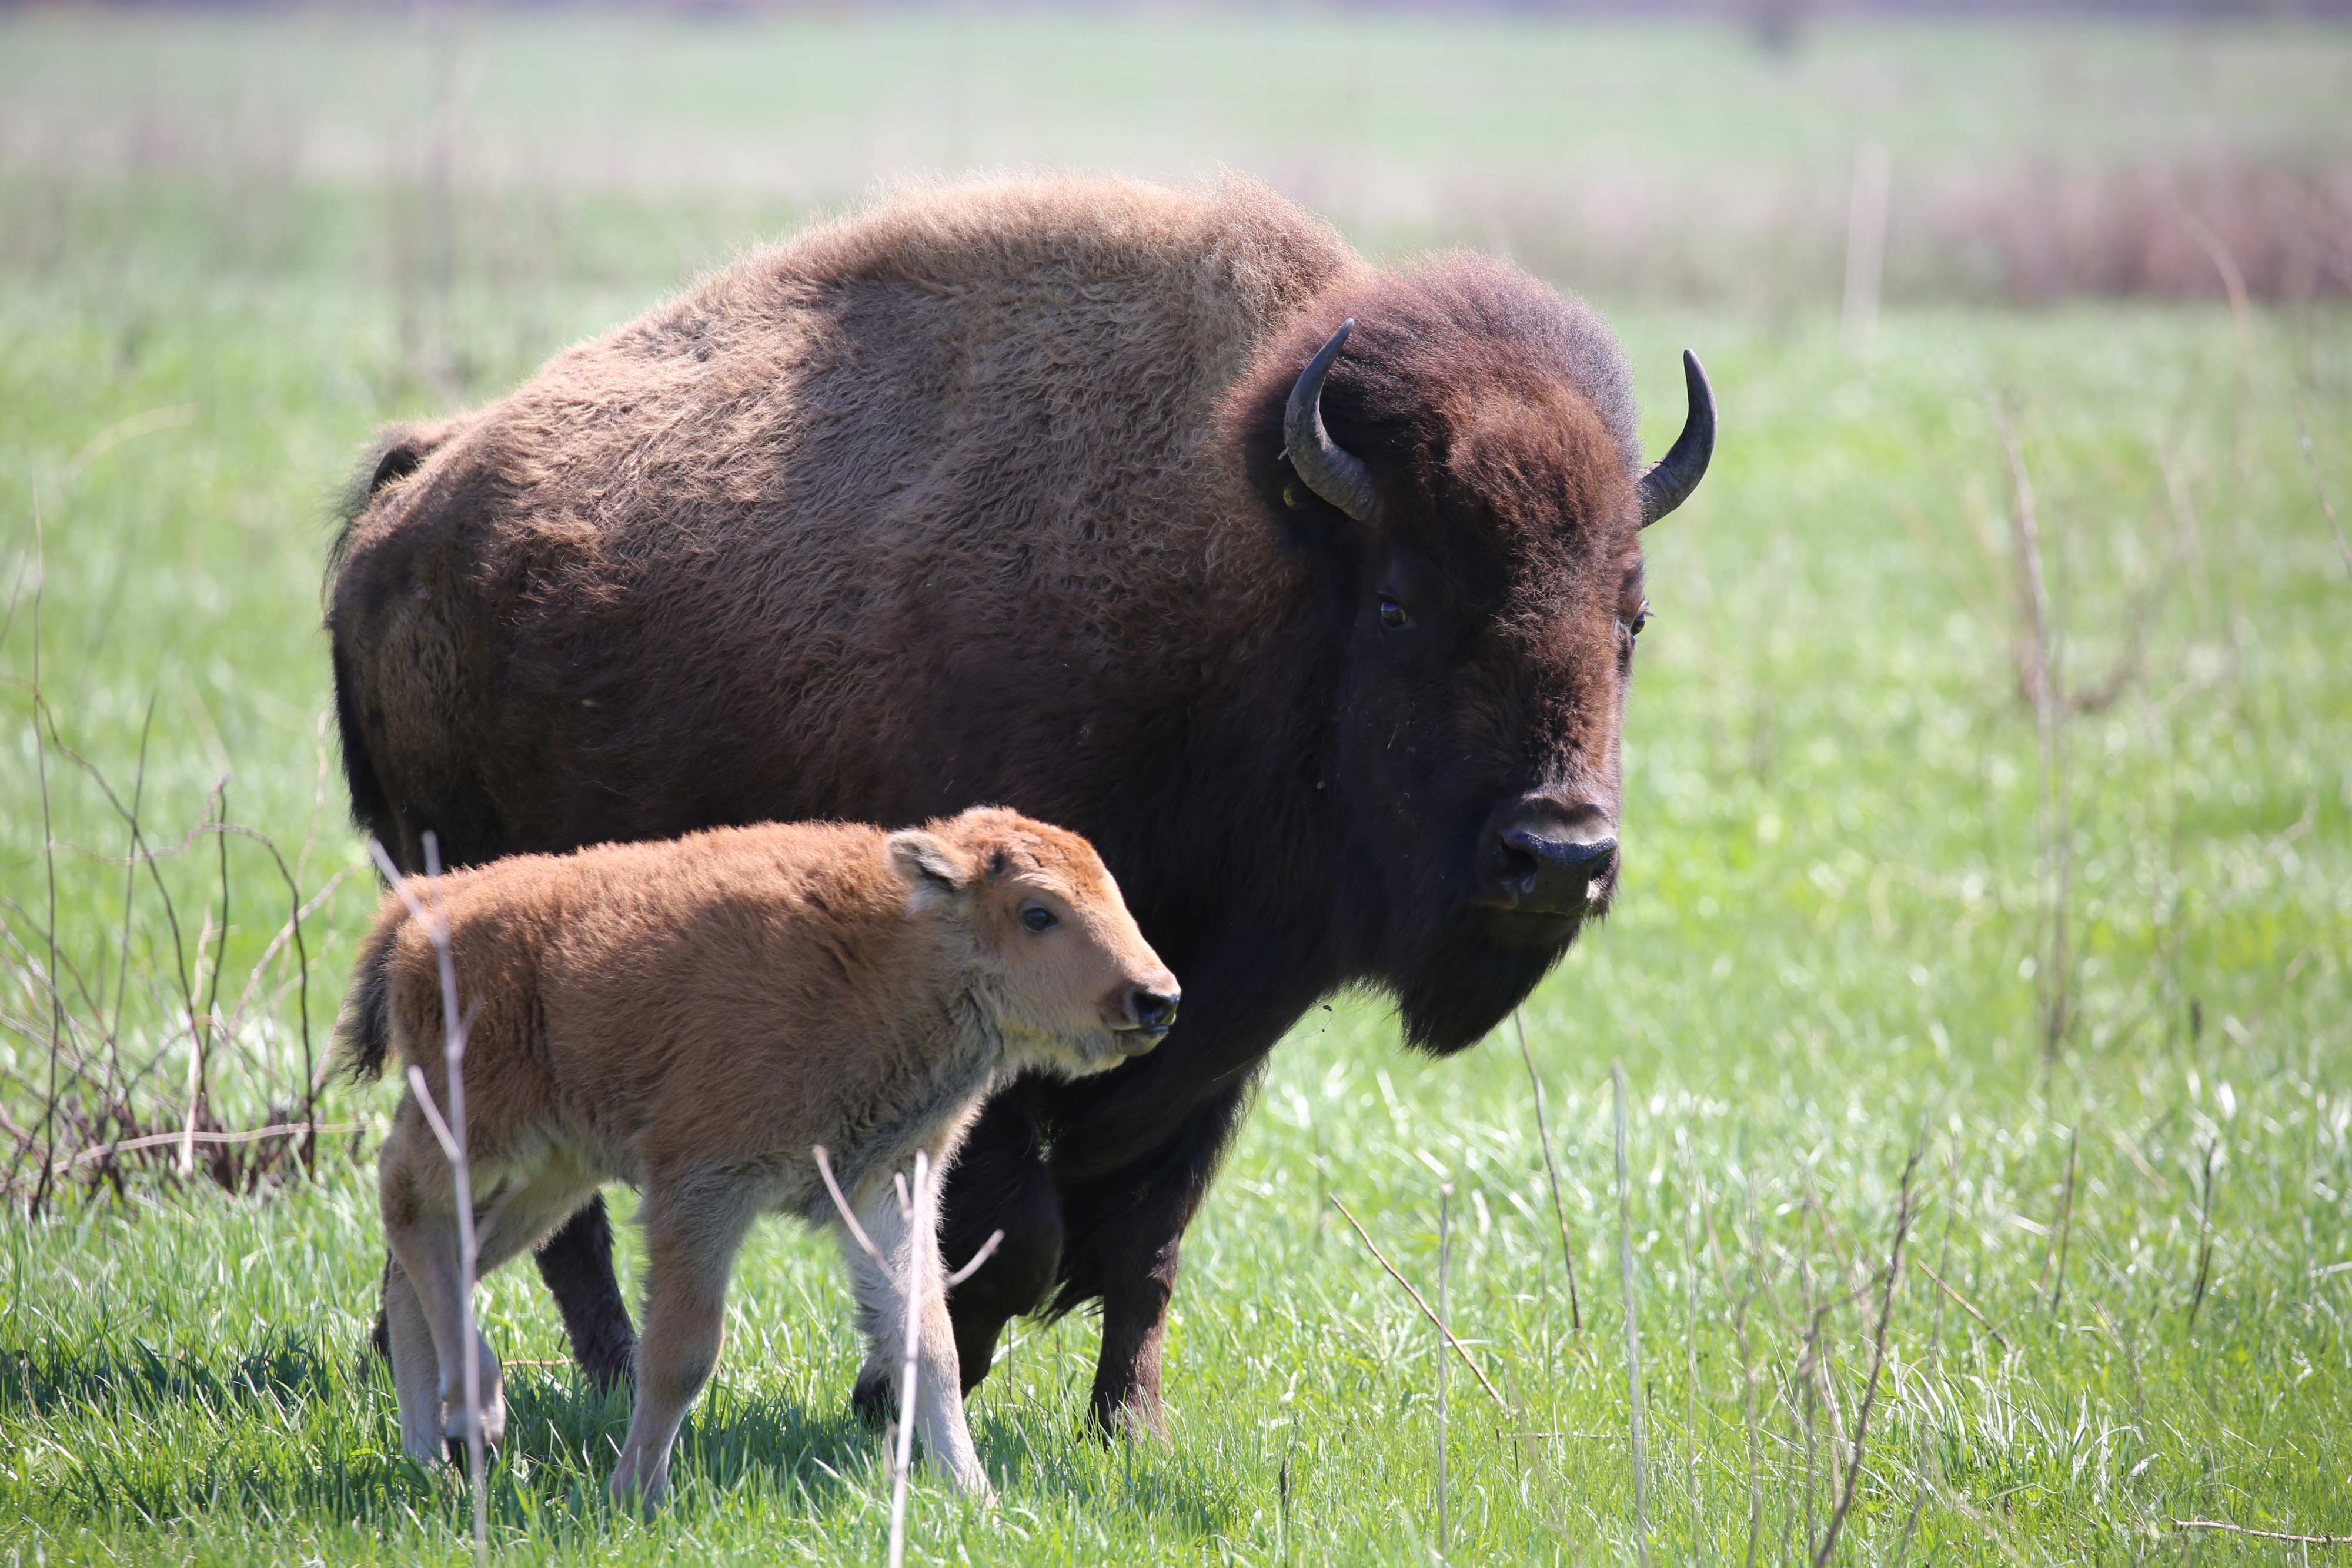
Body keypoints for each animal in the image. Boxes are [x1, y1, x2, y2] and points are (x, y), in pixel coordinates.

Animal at [336, 808, 1176, 1505]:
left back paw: (433, 1453)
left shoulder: (886, 1185)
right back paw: (476, 1408)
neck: (888, 950)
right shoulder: (703, 1188)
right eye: (1038, 913)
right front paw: (634, 1495)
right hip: (477, 1126)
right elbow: (683, 1352)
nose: (1156, 998)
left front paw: (976, 1498)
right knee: (402, 1201)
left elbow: (925, 1340)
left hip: (555, 1172)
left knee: (430, 1260)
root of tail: (423, 908)